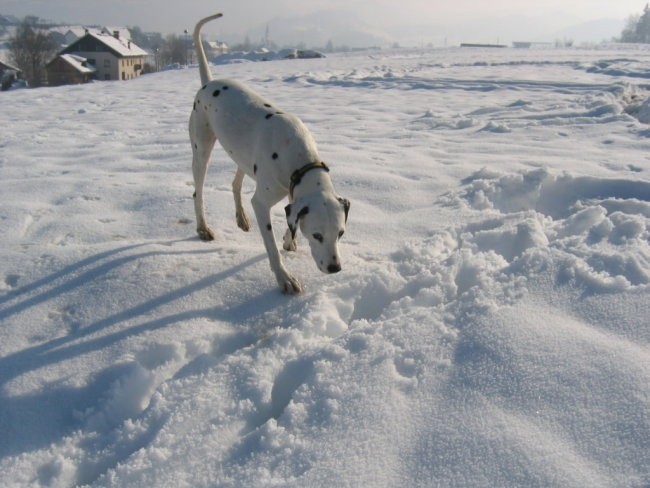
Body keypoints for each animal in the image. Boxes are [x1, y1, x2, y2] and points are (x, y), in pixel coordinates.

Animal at [187, 12, 350, 294]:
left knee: (235, 182)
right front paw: (285, 277)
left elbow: (290, 218)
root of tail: (208, 82)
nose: (334, 268)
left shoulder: (292, 192)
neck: (298, 157)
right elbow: (271, 247)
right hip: (201, 150)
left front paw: (289, 240)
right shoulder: (262, 203)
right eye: (317, 235)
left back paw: (241, 217)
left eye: (340, 233)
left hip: (242, 153)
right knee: (199, 191)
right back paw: (203, 228)